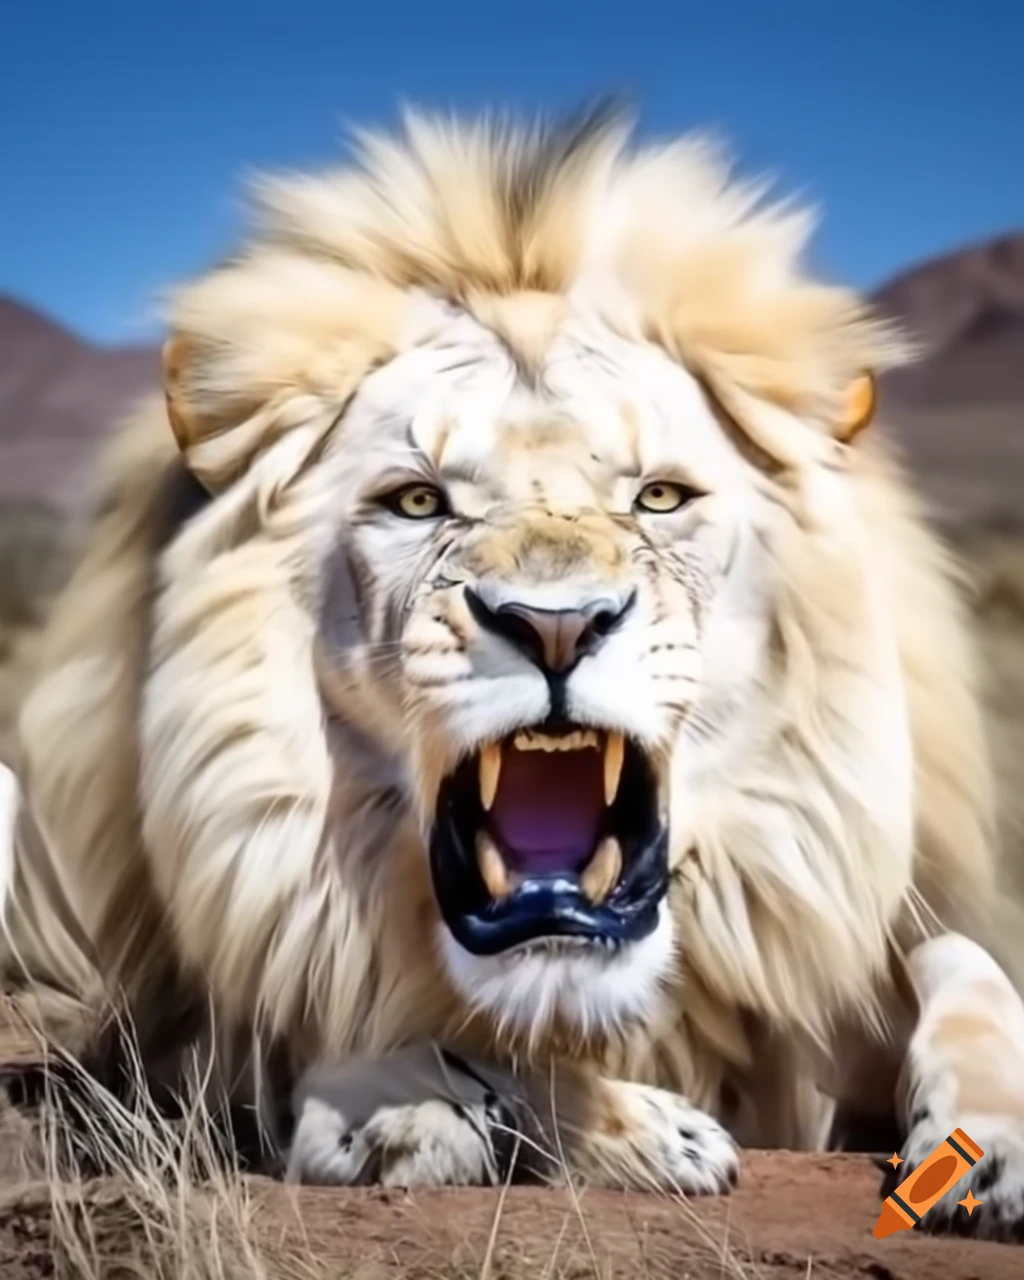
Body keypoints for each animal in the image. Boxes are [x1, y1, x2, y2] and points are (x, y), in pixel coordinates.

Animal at [4, 105, 1024, 1237]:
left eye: (659, 496)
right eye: (417, 501)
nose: (556, 625)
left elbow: (963, 961)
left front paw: (986, 1146)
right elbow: (419, 1044)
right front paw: (509, 1120)